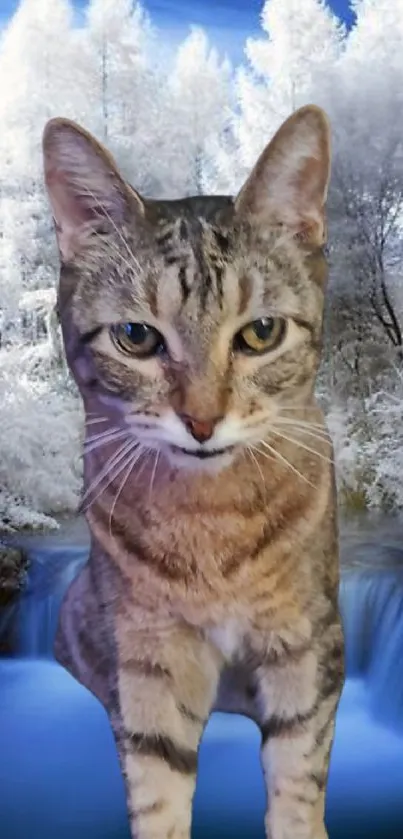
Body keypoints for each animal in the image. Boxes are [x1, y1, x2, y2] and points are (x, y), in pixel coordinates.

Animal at [41, 105, 344, 839]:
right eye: (136, 337)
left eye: (261, 332)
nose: (202, 421)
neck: (212, 519)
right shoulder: (148, 655)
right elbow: (157, 790)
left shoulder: (307, 645)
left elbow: (298, 778)